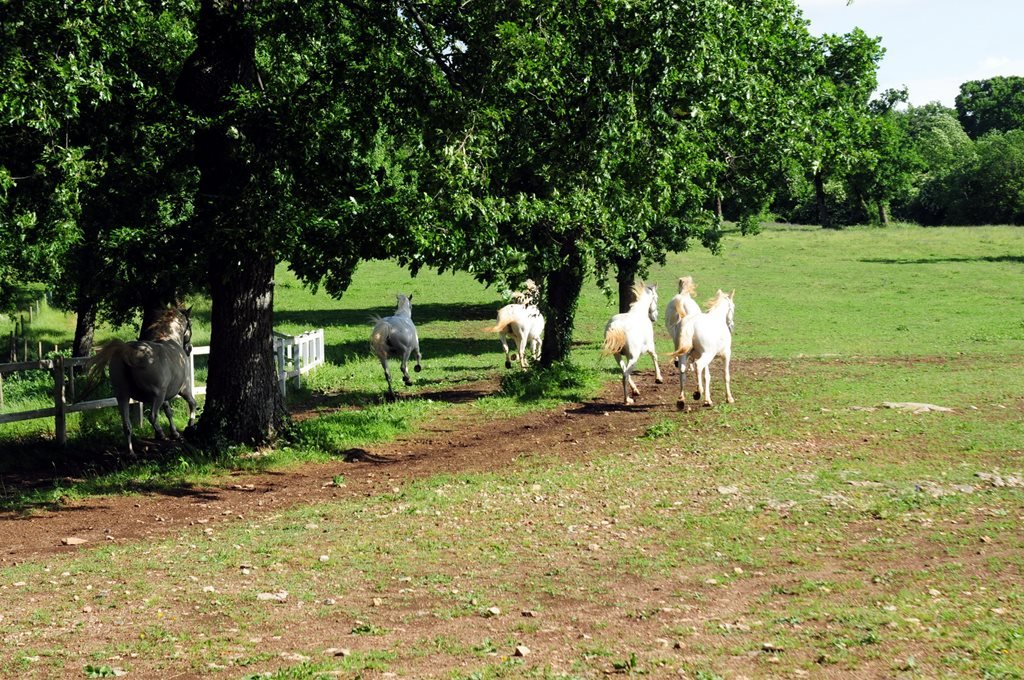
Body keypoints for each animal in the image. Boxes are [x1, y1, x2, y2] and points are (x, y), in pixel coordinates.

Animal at [86, 305, 197, 454]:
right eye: (190, 324)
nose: (189, 349)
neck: (170, 339)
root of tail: (126, 350)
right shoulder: (183, 389)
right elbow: (192, 403)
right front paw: (189, 425)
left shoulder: (166, 395)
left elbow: (168, 411)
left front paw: (174, 433)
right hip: (156, 396)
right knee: (152, 417)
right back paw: (161, 434)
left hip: (122, 396)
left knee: (127, 424)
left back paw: (132, 452)